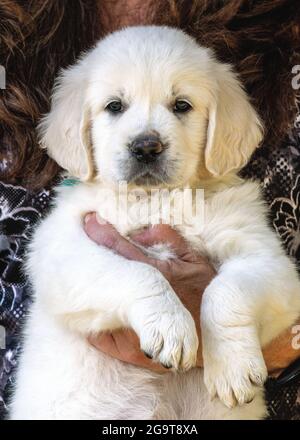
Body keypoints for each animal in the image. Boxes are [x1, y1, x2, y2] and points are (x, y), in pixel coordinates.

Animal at [9, 26, 300, 420]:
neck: (156, 200)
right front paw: (170, 326)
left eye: (182, 105)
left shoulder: (268, 259)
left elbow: (225, 291)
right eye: (115, 106)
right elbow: (138, 272)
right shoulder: (64, 247)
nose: (146, 147)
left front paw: (233, 369)